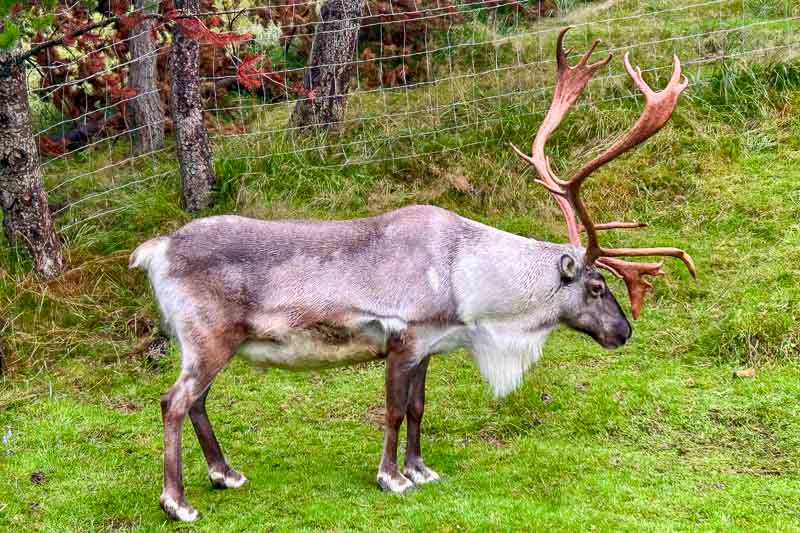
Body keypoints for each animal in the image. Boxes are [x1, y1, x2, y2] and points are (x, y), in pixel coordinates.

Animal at [129, 27, 695, 522]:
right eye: (596, 286)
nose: (624, 331)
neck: (473, 289)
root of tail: (155, 250)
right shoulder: (401, 337)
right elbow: (394, 411)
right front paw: (391, 477)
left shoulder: (429, 345)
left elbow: (420, 407)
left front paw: (421, 469)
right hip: (208, 337)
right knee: (172, 402)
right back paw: (178, 502)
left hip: (210, 344)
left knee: (197, 401)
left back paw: (225, 473)